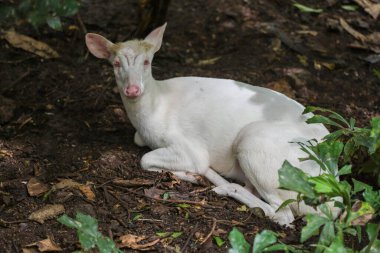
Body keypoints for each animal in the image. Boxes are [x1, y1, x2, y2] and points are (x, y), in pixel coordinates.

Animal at [86, 23, 332, 225]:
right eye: (116, 63)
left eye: (147, 62)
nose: (132, 89)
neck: (154, 109)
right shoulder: (141, 136)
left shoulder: (188, 146)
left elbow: (148, 160)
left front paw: (194, 175)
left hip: (260, 149)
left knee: (284, 214)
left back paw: (223, 186)